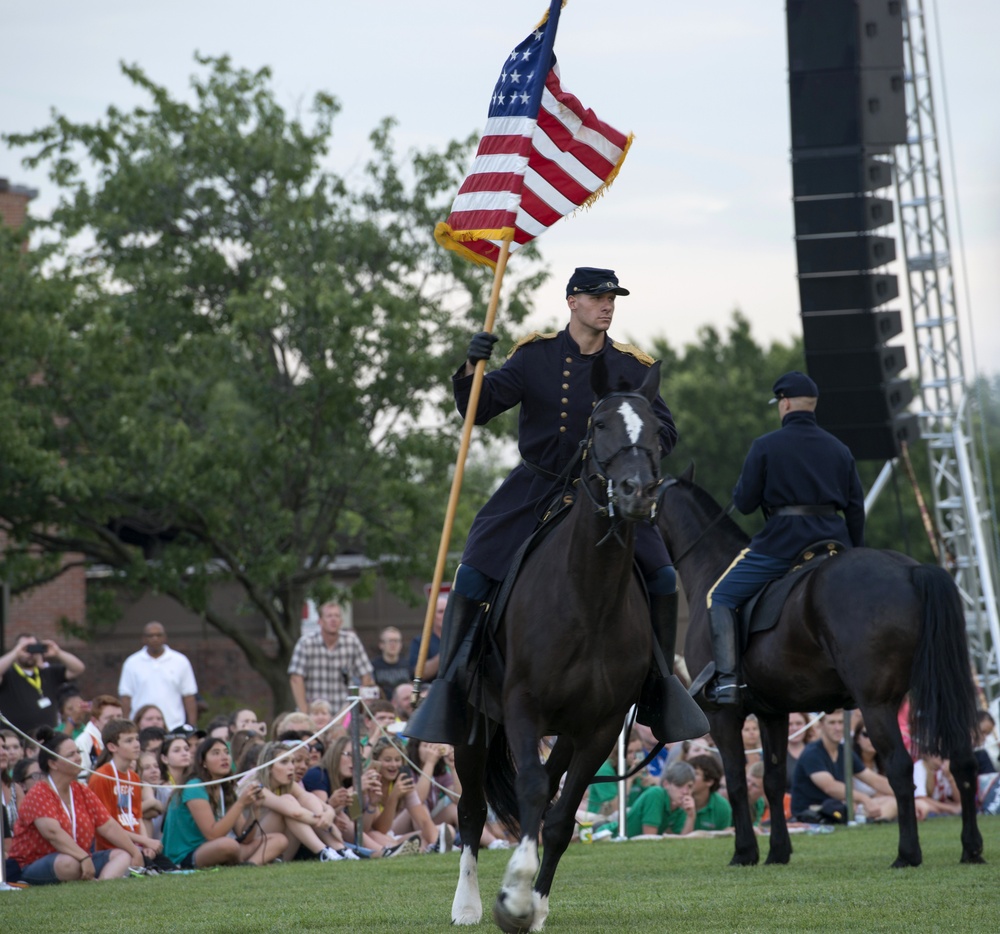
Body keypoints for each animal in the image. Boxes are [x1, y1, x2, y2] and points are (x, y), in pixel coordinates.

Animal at [656, 468, 984, 872]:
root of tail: (912, 570)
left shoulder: (723, 716)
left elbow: (735, 781)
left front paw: (745, 852)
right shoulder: (773, 713)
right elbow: (773, 780)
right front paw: (778, 852)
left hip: (877, 705)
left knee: (900, 767)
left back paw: (907, 854)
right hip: (937, 695)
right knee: (963, 762)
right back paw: (970, 848)